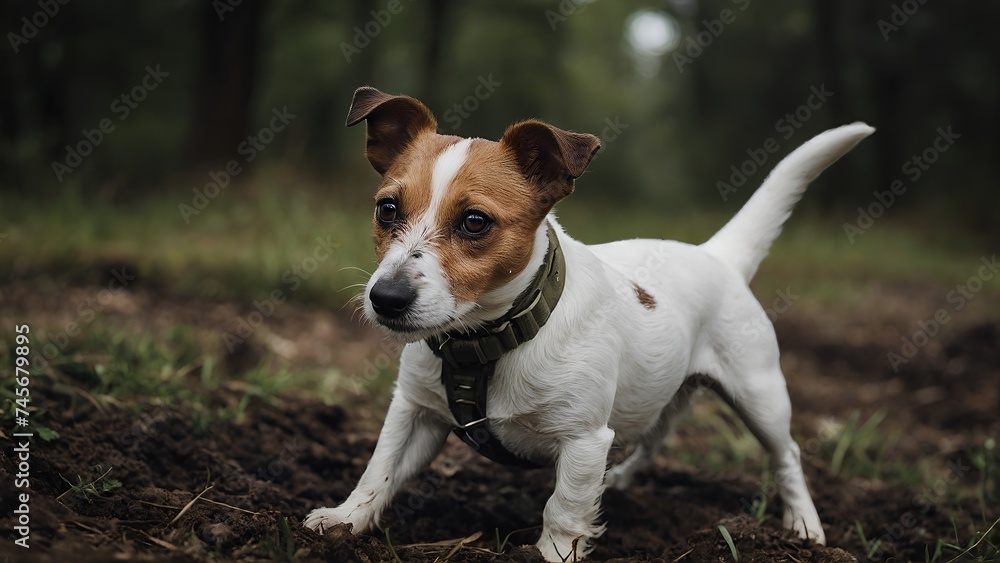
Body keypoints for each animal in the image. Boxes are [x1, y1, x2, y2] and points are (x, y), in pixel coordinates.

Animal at [306, 86, 876, 560]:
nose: (386, 298)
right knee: (655, 434)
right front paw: (345, 520)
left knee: (787, 455)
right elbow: (379, 470)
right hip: (668, 392)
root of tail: (718, 255)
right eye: (387, 209)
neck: (490, 343)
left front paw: (551, 554)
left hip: (761, 396)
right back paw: (620, 480)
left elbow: (563, 508)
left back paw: (804, 526)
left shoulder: (583, 441)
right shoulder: (415, 411)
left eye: (474, 222)